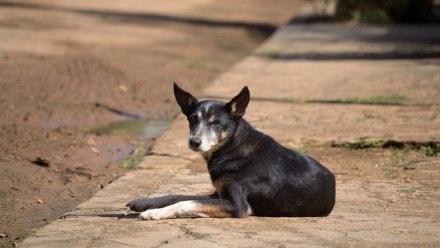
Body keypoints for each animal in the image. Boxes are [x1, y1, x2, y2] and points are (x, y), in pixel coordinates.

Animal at [125, 83, 336, 219]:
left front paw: (154, 212)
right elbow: (176, 196)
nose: (194, 142)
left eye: (216, 123)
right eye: (192, 119)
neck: (231, 148)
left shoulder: (237, 205)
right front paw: (144, 202)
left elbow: (186, 203)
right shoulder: (217, 194)